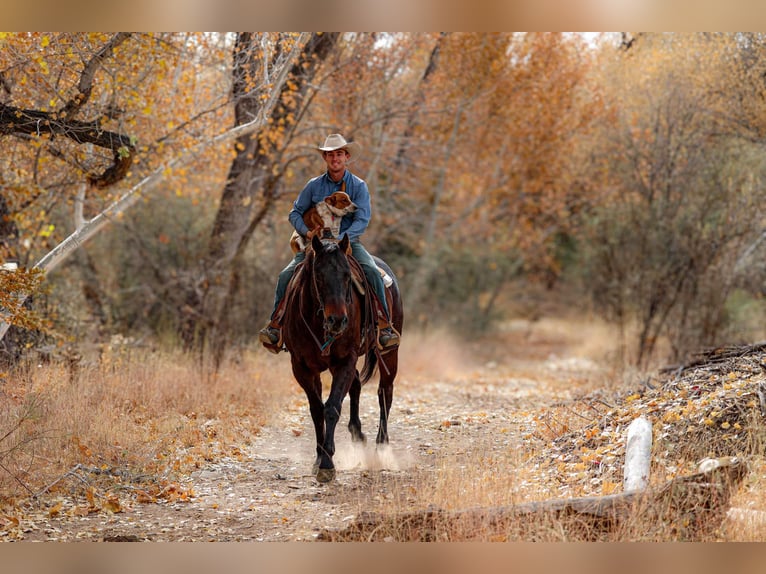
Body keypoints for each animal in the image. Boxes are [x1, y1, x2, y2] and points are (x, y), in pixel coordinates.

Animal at [280, 233, 403, 483]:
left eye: (347, 276)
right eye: (318, 275)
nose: (337, 320)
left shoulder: (345, 360)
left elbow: (332, 407)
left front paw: (327, 464)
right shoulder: (302, 367)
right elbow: (316, 409)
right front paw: (319, 459)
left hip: (389, 353)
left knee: (384, 392)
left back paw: (382, 448)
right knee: (356, 384)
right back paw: (357, 433)